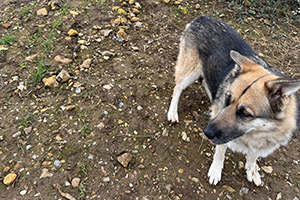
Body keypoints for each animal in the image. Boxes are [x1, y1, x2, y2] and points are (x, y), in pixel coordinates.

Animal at [168, 16, 298, 186]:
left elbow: (253, 156)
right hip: (190, 72)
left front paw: (252, 170)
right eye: (227, 99)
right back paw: (172, 113)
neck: (254, 132)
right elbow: (220, 151)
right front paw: (216, 171)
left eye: (245, 114)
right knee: (177, 89)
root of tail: (201, 18)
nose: (206, 132)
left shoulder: (260, 144)